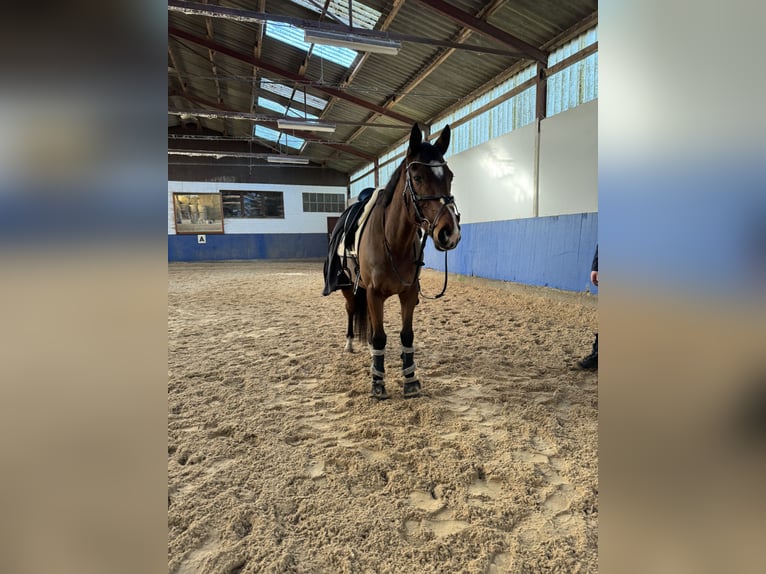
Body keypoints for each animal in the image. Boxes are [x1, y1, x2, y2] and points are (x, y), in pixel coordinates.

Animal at [328, 122, 460, 400]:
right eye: (418, 178)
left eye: (450, 176)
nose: (449, 232)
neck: (393, 241)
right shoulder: (374, 293)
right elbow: (380, 337)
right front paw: (378, 384)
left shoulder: (408, 294)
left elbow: (406, 336)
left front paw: (410, 380)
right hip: (348, 287)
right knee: (351, 310)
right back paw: (350, 343)